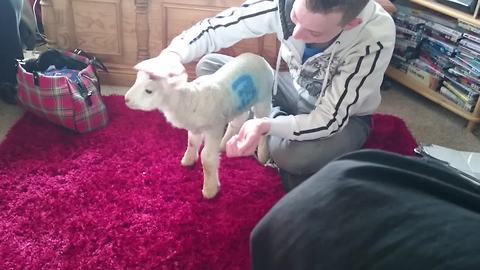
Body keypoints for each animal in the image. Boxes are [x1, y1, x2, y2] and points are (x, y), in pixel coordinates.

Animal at [124, 52, 274, 198]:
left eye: (149, 91)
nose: (126, 99)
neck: (187, 99)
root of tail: (260, 58)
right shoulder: (195, 128)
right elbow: (192, 143)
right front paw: (188, 160)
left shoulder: (214, 128)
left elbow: (207, 157)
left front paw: (210, 190)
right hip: (240, 103)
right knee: (239, 119)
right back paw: (224, 144)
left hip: (264, 98)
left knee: (264, 120)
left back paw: (262, 154)